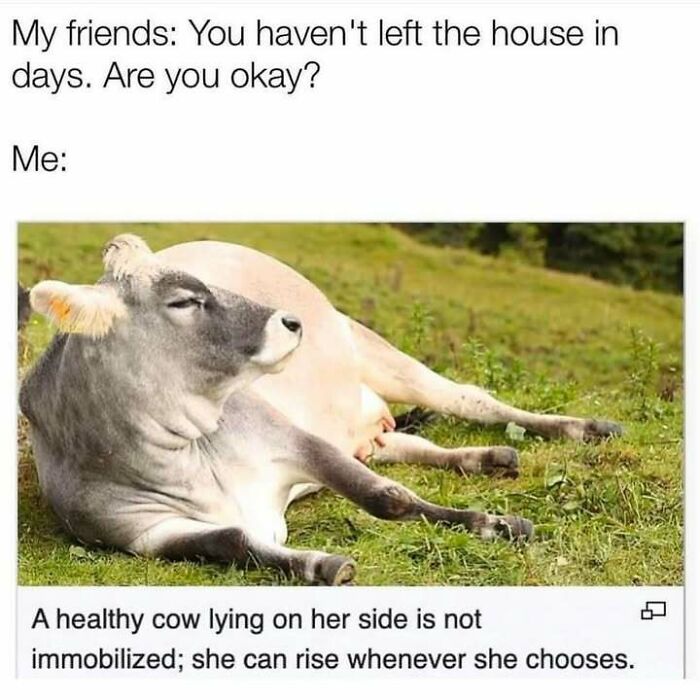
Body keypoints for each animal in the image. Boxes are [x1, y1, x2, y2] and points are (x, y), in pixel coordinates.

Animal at [19, 234, 622, 584]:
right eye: (185, 300)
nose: (290, 321)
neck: (179, 455)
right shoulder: (145, 534)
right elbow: (235, 541)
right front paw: (320, 564)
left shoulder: (291, 438)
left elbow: (388, 498)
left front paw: (493, 524)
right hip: (364, 424)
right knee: (409, 443)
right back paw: (490, 458)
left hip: (376, 350)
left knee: (474, 399)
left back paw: (586, 428)